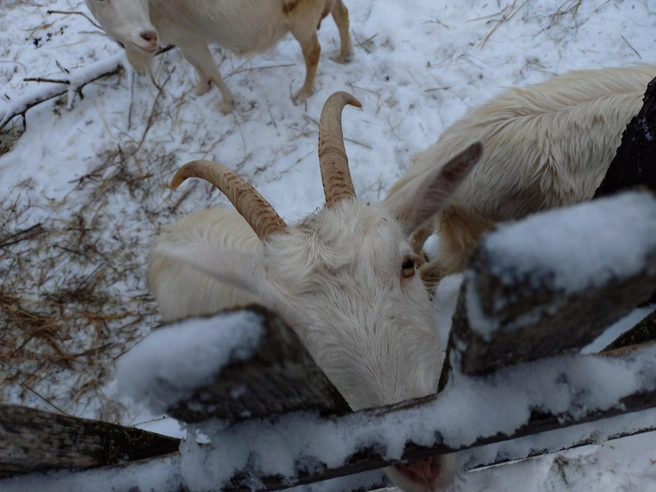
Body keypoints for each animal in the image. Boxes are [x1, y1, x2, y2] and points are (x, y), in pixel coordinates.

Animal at [85, 0, 356, 112]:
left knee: (312, 51)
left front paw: (226, 103)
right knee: (342, 14)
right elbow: (195, 64)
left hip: (302, 16)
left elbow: (211, 69)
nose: (147, 36)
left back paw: (303, 93)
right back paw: (344, 54)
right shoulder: (183, 37)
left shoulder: (190, 37)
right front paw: (201, 86)